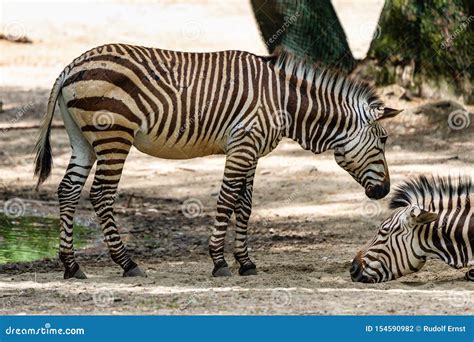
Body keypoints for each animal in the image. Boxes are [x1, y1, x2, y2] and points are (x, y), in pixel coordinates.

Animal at [33, 43, 400, 278]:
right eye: (383, 140)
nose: (384, 192)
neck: (284, 103)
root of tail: (72, 65)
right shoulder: (243, 145)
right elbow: (226, 200)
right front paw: (219, 262)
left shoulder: (251, 150)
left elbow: (244, 204)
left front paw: (246, 263)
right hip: (114, 136)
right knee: (101, 195)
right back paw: (127, 263)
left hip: (83, 139)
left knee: (67, 190)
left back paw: (71, 266)